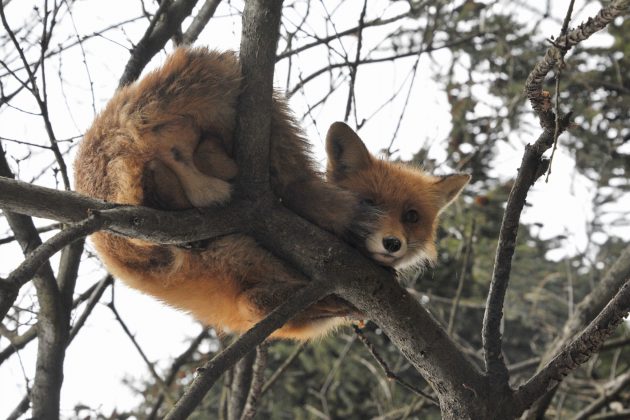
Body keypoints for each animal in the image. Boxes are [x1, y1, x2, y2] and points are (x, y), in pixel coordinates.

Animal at [74, 47, 472, 340]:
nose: (393, 243)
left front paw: (346, 306)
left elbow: (288, 303)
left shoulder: (262, 306)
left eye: (411, 216)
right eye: (371, 202)